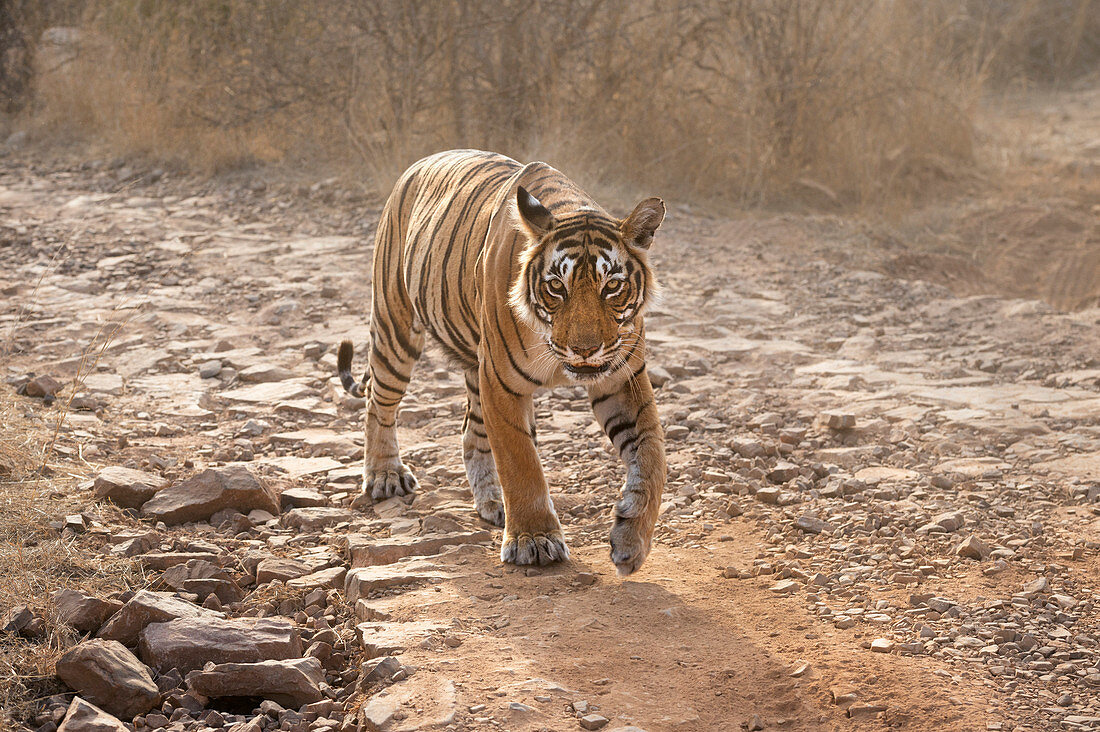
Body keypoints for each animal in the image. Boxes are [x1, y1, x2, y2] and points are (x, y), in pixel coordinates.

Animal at [334, 148, 664, 572]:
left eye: (613, 286)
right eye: (556, 287)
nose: (585, 350)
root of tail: (419, 163)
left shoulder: (622, 379)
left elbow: (652, 456)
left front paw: (631, 540)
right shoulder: (501, 382)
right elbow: (520, 460)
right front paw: (534, 540)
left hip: (474, 371)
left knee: (469, 433)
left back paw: (492, 501)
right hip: (397, 329)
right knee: (380, 404)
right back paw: (385, 475)